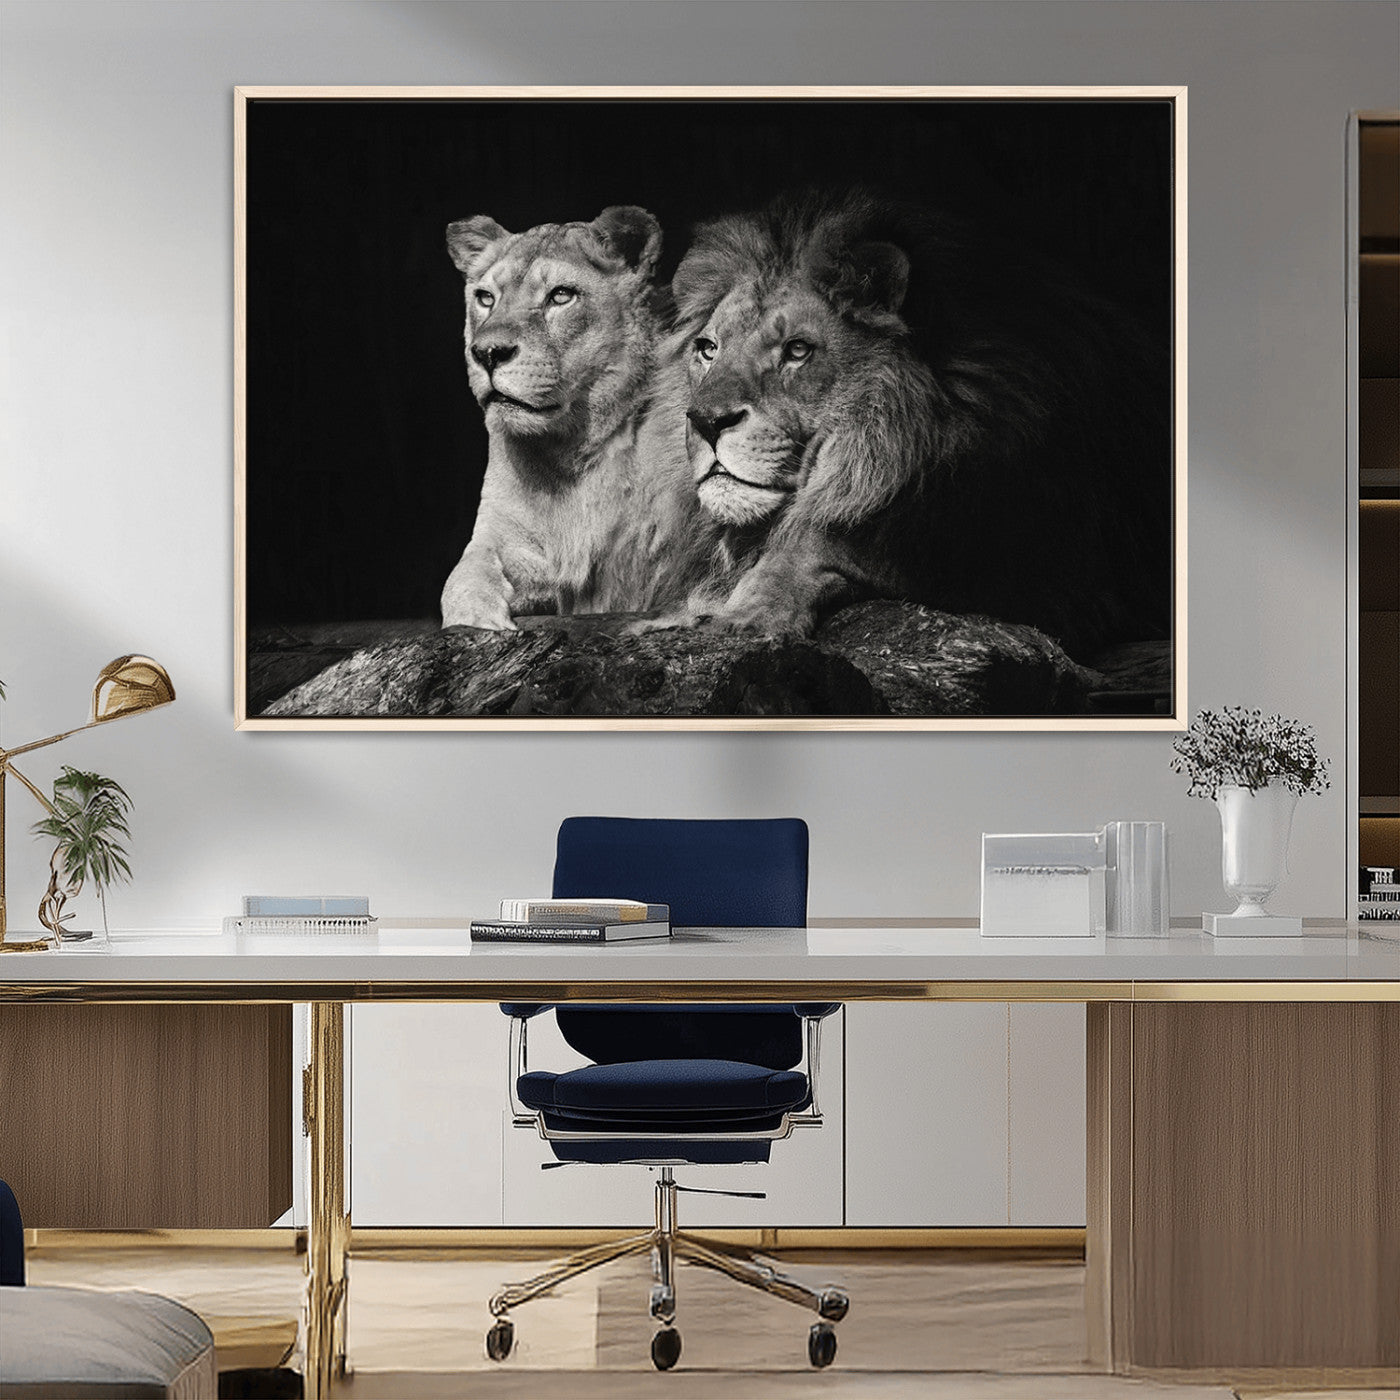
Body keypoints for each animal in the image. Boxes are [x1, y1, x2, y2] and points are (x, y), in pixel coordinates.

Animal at [440, 206, 711, 630]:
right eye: (485, 298)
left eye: (561, 295)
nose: (486, 353)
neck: (571, 452)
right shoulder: (502, 536)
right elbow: (462, 577)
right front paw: (478, 621)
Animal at [666, 189, 1172, 657]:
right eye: (708, 349)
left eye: (797, 350)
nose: (706, 421)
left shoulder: (1046, 572)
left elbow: (824, 537)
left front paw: (746, 611)